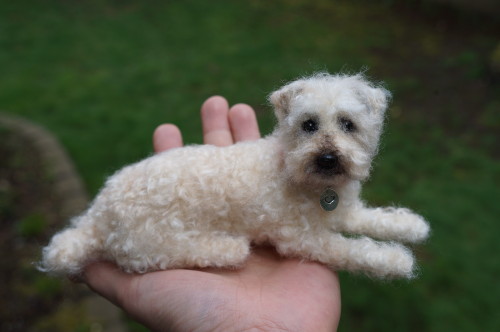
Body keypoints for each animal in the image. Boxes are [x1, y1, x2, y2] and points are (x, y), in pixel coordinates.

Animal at [40, 72, 430, 278]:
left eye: (348, 124)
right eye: (308, 124)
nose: (328, 158)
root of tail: (98, 215)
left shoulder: (344, 211)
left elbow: (374, 218)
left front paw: (411, 225)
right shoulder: (303, 240)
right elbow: (354, 249)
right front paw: (396, 259)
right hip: (157, 245)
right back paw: (226, 247)